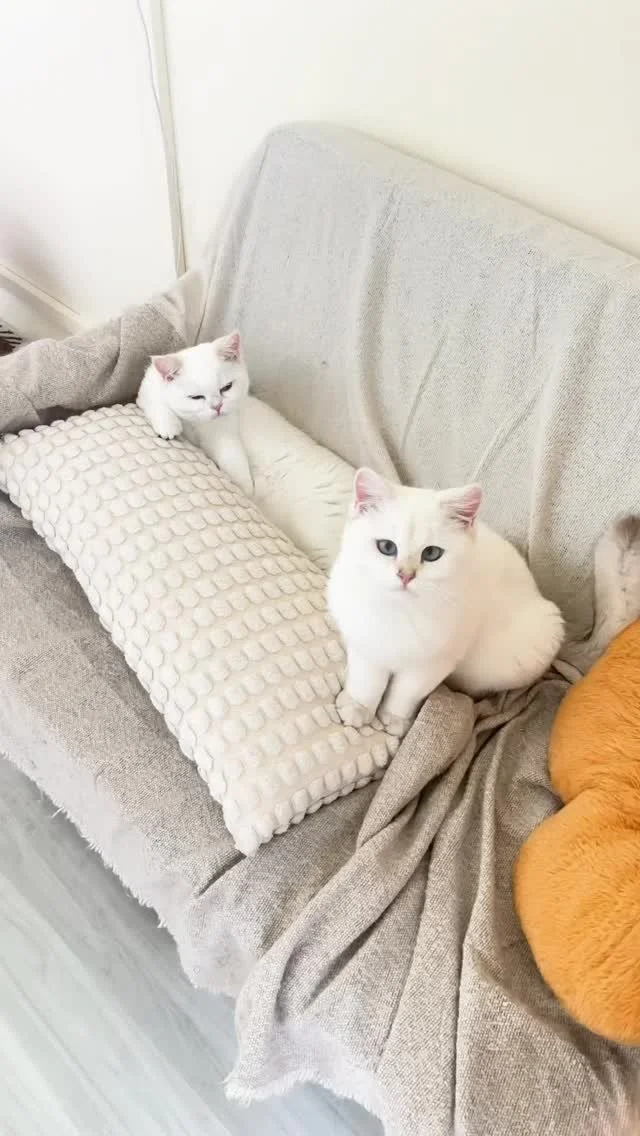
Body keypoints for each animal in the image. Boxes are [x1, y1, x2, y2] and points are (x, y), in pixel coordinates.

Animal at [136, 331, 253, 495]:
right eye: (196, 397)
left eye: (227, 387)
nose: (217, 406)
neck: (196, 423)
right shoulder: (147, 387)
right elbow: (156, 400)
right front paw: (168, 425)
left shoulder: (225, 428)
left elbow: (232, 454)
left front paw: (245, 487)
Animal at [328, 468, 564, 736]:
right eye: (386, 547)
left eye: (432, 553)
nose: (406, 575)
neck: (401, 611)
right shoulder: (367, 644)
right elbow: (367, 683)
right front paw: (358, 708)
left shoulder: (433, 664)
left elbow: (404, 693)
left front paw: (396, 719)